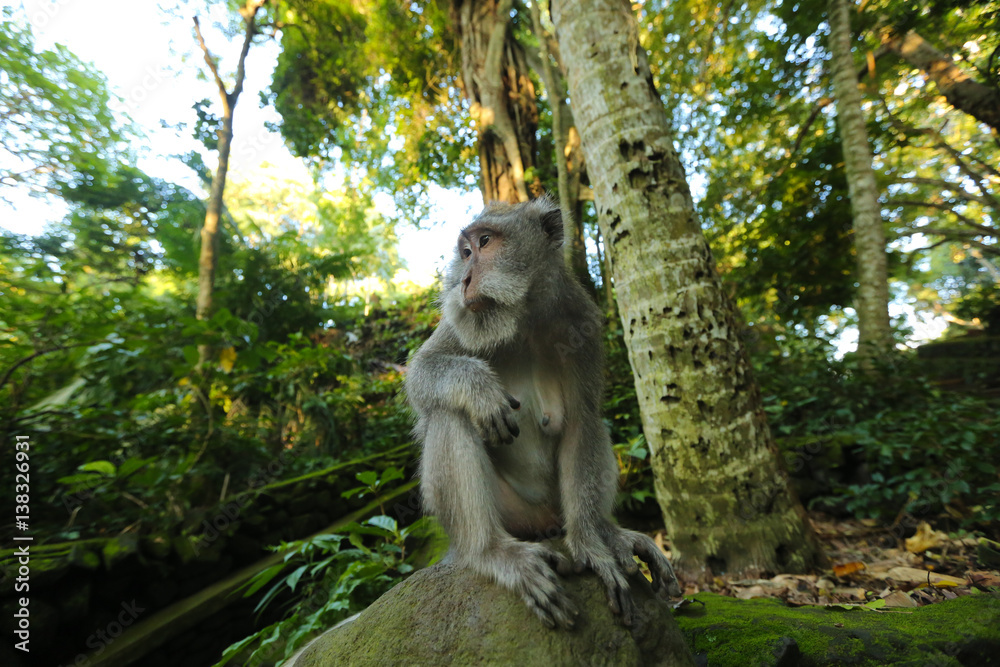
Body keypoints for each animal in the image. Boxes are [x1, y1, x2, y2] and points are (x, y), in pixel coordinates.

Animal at [405, 197, 681, 629]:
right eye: (464, 253)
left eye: (485, 242)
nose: (463, 279)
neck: (524, 319)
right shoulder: (460, 324)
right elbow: (421, 374)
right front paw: (478, 387)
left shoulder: (583, 322)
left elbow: (581, 423)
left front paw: (589, 544)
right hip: (514, 515)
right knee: (450, 414)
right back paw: (490, 551)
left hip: (555, 506)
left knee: (593, 426)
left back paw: (607, 532)